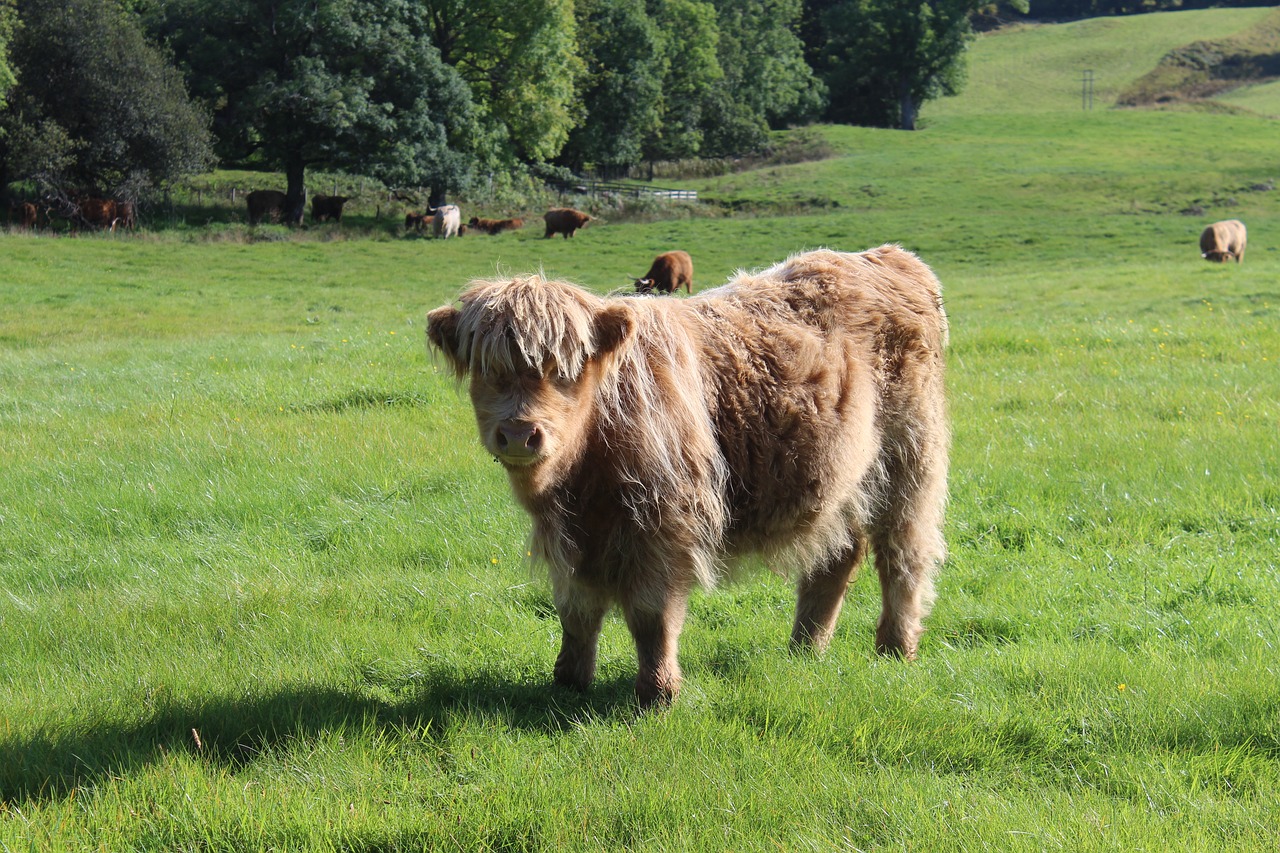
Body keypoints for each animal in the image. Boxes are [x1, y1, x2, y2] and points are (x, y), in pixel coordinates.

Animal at [430, 244, 952, 701]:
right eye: (486, 368)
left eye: (566, 369)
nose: (520, 434)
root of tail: (888, 257)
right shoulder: (572, 540)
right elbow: (576, 612)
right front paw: (568, 682)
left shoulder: (666, 524)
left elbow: (652, 615)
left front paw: (657, 693)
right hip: (839, 481)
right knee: (836, 558)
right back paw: (805, 650)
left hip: (910, 459)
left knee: (903, 555)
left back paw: (895, 648)